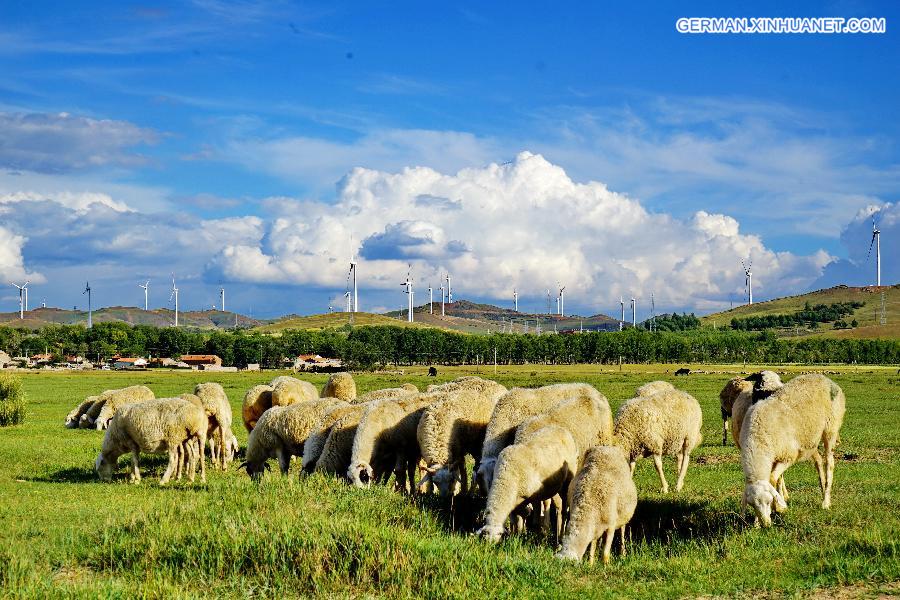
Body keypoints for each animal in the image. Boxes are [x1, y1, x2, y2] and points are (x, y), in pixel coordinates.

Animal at [740, 372, 844, 528]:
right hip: (810, 440)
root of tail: (824, 378)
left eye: (768, 502)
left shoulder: (788, 456)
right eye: (752, 505)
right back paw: (822, 488)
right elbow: (775, 479)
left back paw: (826, 502)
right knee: (818, 461)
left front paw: (779, 507)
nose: (766, 524)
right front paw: (757, 523)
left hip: (830, 428)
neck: (758, 438)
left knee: (829, 463)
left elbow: (773, 478)